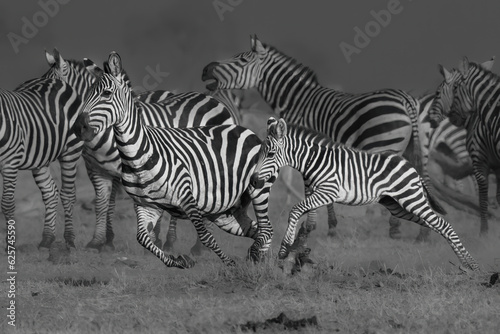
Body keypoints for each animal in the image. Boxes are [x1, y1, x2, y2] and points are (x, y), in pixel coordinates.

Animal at [0, 76, 81, 248]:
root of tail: (54, 79)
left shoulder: (10, 162)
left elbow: (7, 203)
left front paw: (10, 244)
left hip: (71, 150)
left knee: (68, 194)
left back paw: (69, 239)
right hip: (40, 159)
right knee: (50, 193)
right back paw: (47, 239)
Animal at [43, 49, 238, 250]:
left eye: (54, 92)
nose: (78, 128)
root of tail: (209, 97)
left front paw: (147, 240)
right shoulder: (96, 170)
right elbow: (102, 204)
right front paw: (98, 241)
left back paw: (187, 245)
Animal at [73, 51, 274, 268]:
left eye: (107, 94)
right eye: (86, 94)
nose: (78, 128)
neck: (137, 154)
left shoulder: (186, 196)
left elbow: (205, 236)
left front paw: (228, 263)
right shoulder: (144, 203)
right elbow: (140, 237)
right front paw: (177, 261)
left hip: (257, 189)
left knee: (265, 229)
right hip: (225, 209)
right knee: (257, 230)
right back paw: (260, 259)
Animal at [202, 34, 438, 240]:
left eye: (241, 60)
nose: (205, 69)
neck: (297, 100)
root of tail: (405, 98)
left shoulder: (310, 146)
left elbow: (309, 187)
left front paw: (315, 226)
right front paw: (325, 225)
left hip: (385, 146)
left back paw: (393, 228)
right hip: (420, 145)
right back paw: (422, 233)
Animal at [250, 117, 480, 272]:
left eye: (270, 154)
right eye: (260, 153)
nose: (254, 181)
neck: (313, 160)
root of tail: (411, 167)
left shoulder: (328, 192)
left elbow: (295, 209)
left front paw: (284, 248)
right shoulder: (314, 192)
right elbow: (303, 216)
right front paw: (294, 246)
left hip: (411, 198)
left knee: (444, 225)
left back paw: (472, 265)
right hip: (398, 206)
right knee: (436, 225)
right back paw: (464, 263)